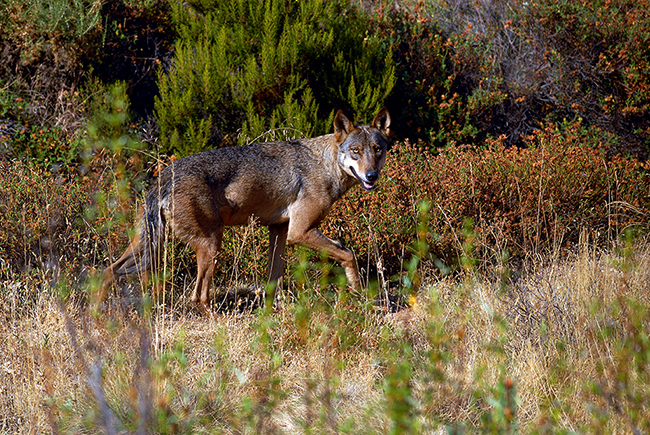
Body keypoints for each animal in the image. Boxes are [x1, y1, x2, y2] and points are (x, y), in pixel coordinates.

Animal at [101, 107, 390, 308]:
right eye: (355, 151)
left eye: (377, 149)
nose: (372, 176)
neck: (325, 165)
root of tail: (162, 179)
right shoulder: (300, 232)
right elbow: (349, 254)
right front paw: (359, 291)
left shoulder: (279, 230)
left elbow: (274, 279)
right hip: (210, 245)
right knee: (199, 297)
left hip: (146, 246)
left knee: (107, 271)